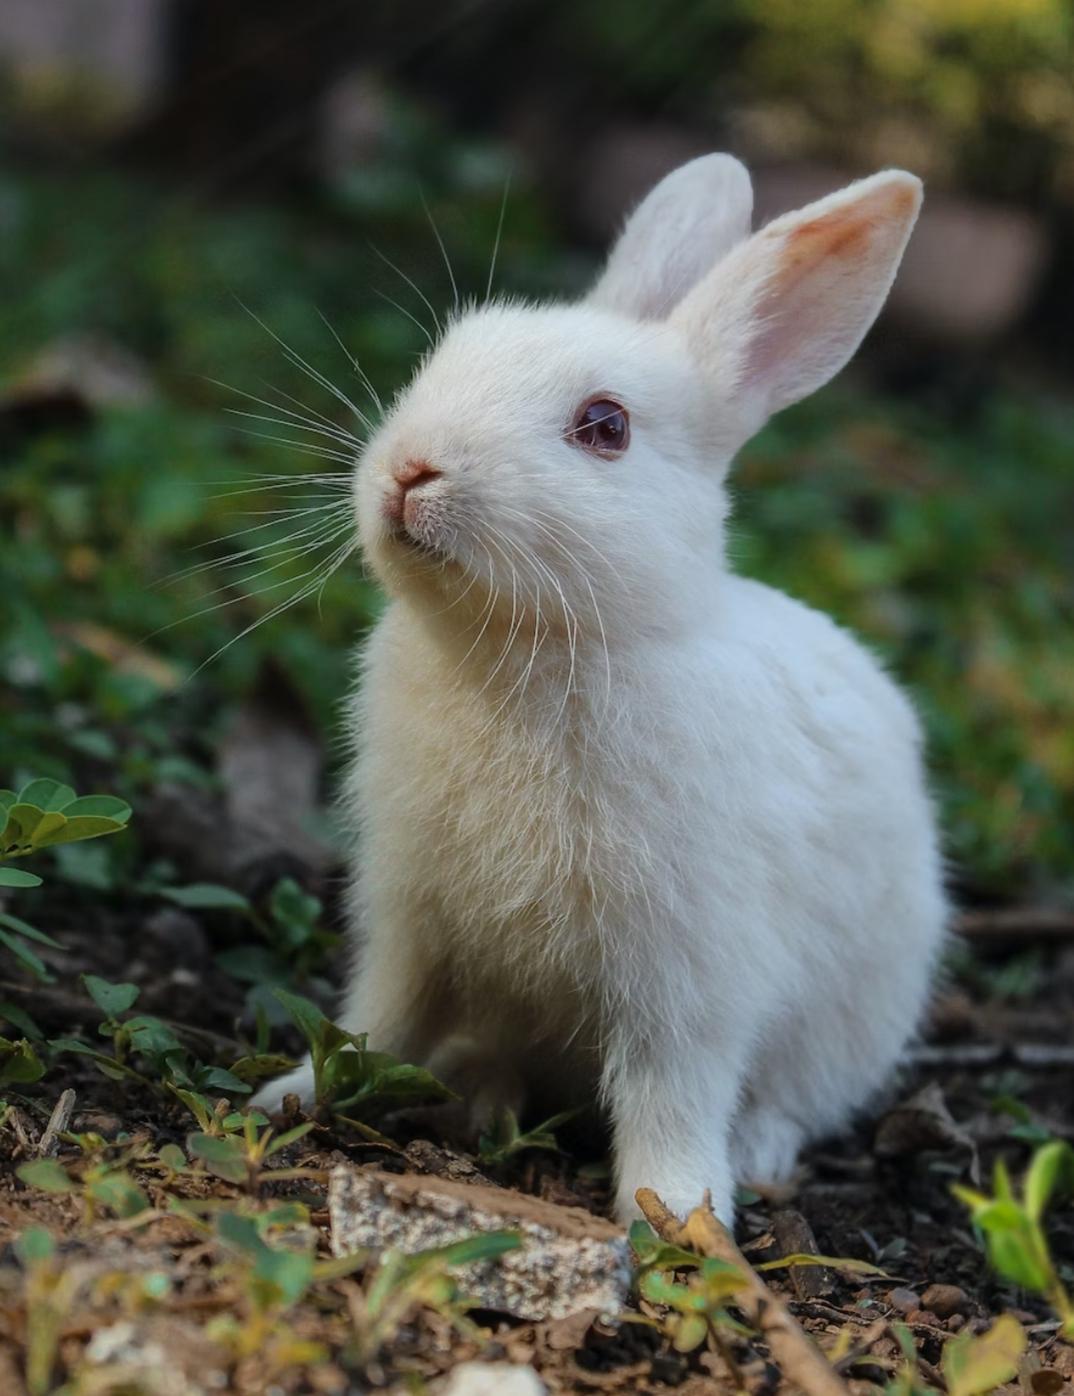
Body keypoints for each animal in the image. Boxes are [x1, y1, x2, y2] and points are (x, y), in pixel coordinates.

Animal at [256, 154, 947, 1225]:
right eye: (444, 357)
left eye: (606, 427)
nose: (411, 470)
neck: (533, 647)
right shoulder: (410, 918)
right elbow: (378, 1018)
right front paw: (294, 1093)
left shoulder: (688, 975)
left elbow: (672, 1092)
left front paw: (679, 1216)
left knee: (792, 1098)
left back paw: (756, 1155)